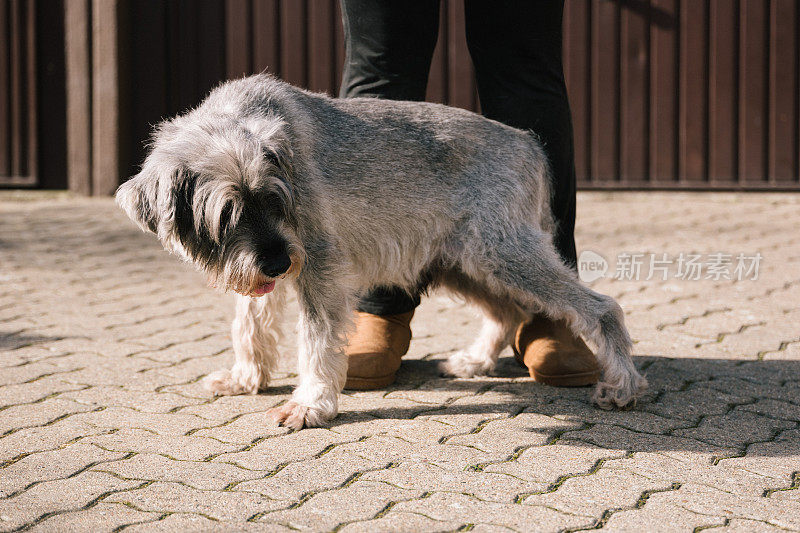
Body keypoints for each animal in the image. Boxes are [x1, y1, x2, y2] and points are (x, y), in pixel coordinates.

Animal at [115, 72, 648, 428]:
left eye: (274, 198)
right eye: (228, 213)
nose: (280, 262)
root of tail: (531, 146)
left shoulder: (318, 266)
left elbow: (316, 341)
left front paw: (310, 404)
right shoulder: (261, 270)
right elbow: (250, 324)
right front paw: (245, 378)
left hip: (504, 254)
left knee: (598, 308)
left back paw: (621, 385)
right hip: (463, 262)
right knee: (506, 312)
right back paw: (473, 361)